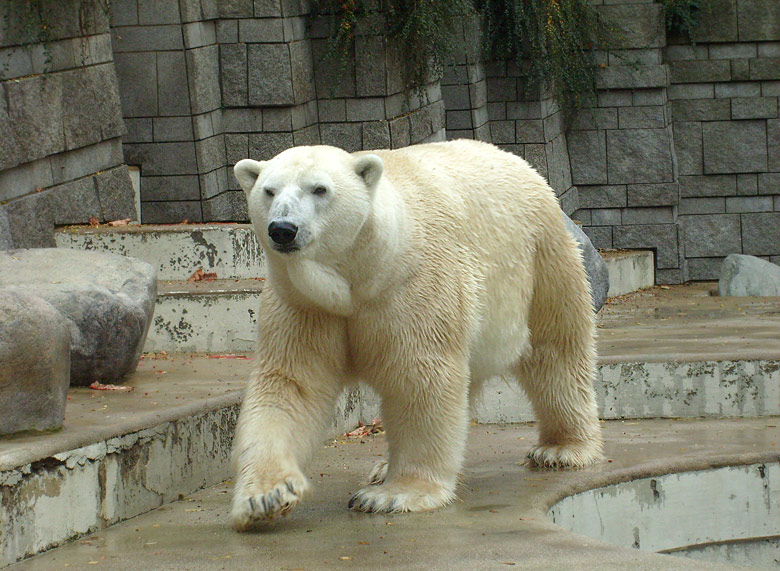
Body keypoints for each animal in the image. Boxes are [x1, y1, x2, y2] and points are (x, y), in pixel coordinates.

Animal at [232, 140, 604, 532]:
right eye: (269, 190)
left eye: (319, 189)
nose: (283, 229)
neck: (363, 272)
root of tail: (520, 163)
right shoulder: (303, 304)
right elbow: (291, 385)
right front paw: (266, 496)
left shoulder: (411, 286)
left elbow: (421, 379)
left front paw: (393, 495)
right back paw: (382, 467)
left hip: (541, 259)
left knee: (557, 351)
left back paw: (562, 449)